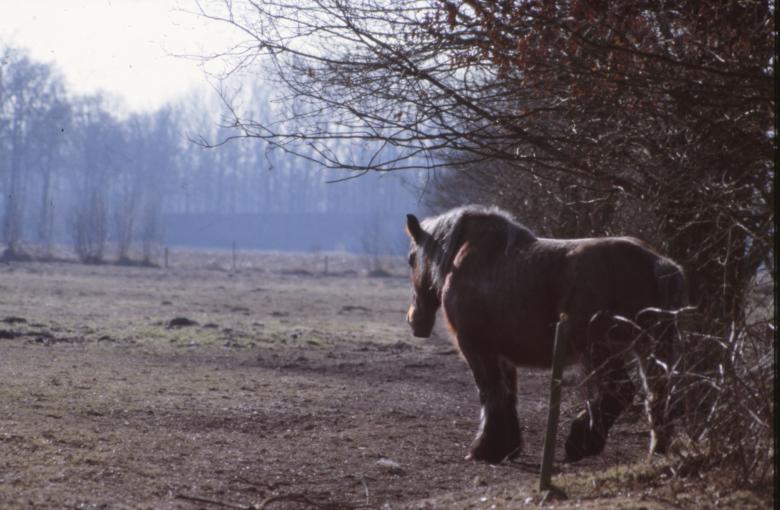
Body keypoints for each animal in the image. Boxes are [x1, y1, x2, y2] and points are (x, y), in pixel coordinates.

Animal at [404, 205, 687, 464]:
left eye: (410, 259)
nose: (413, 320)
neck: (467, 257)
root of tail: (656, 263)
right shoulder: (502, 354)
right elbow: (508, 395)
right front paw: (507, 447)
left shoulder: (476, 347)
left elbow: (490, 393)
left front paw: (485, 449)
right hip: (648, 348)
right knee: (657, 393)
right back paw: (657, 448)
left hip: (600, 350)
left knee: (620, 391)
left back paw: (581, 443)